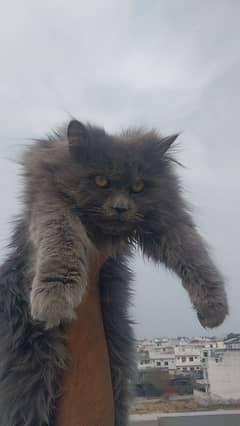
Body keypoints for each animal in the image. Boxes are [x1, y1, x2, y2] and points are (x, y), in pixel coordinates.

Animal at [0, 118, 228, 424]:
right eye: (101, 181)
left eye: (138, 186)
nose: (121, 207)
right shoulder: (50, 201)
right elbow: (61, 241)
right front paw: (54, 299)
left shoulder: (168, 218)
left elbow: (194, 254)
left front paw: (213, 306)